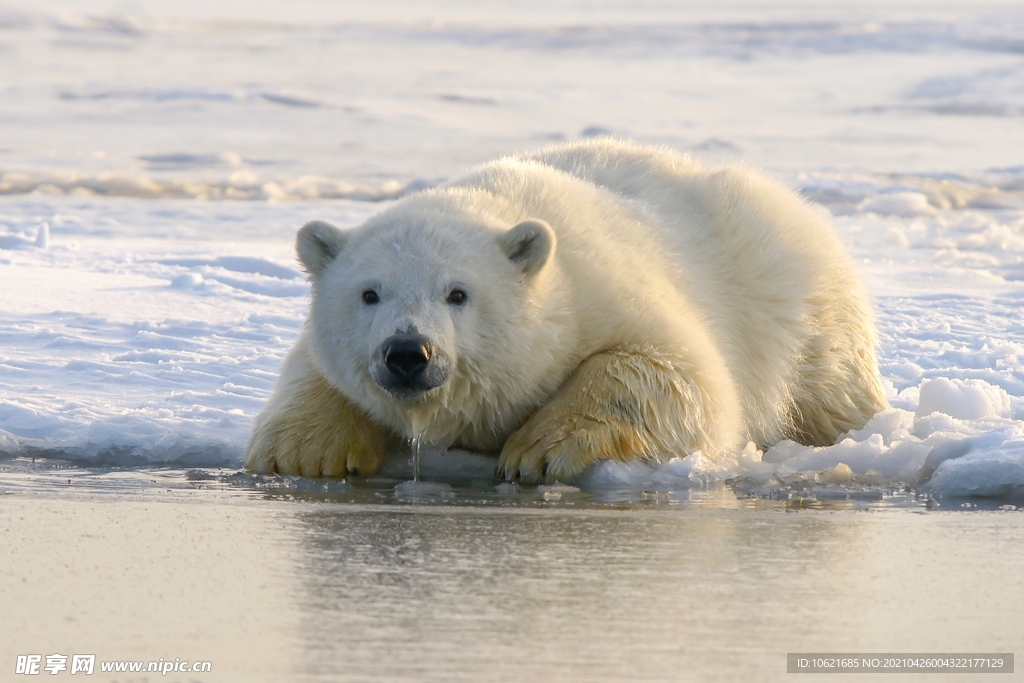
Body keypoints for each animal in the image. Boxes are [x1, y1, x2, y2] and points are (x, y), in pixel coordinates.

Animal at [243, 137, 884, 481]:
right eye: (369, 292)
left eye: (458, 293)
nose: (407, 353)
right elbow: (311, 367)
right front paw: (306, 452)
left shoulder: (607, 292)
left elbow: (681, 376)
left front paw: (537, 451)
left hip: (797, 303)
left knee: (829, 387)